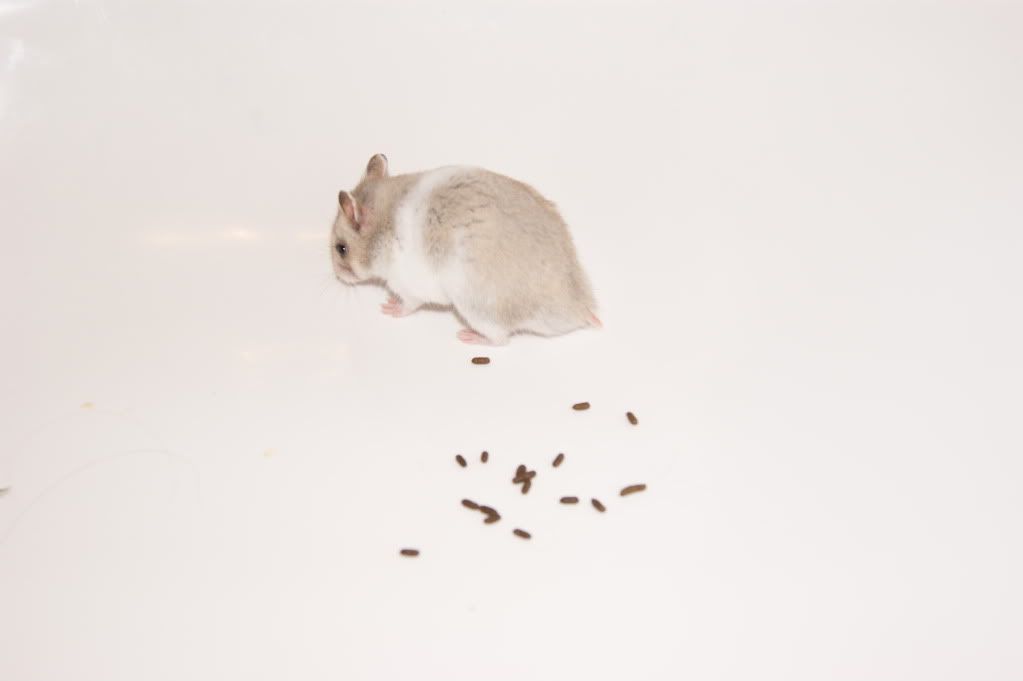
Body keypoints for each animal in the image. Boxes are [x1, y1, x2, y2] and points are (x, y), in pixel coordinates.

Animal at [330, 154, 599, 345]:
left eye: (341, 249)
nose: (337, 276)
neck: (382, 230)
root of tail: (579, 309)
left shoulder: (408, 288)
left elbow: (408, 305)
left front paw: (388, 307)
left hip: (477, 309)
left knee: (500, 339)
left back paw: (468, 336)